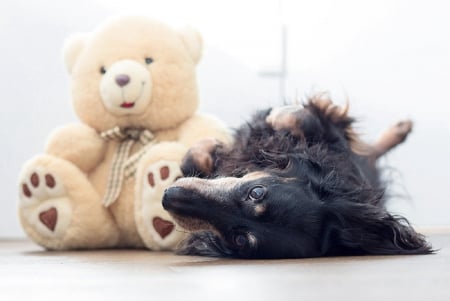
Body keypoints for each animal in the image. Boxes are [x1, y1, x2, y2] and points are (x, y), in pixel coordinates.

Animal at [162, 98, 432, 258]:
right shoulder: (332, 135)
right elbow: (296, 117)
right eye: (256, 192)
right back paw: (402, 128)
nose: (168, 197)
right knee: (371, 151)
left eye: (239, 240)